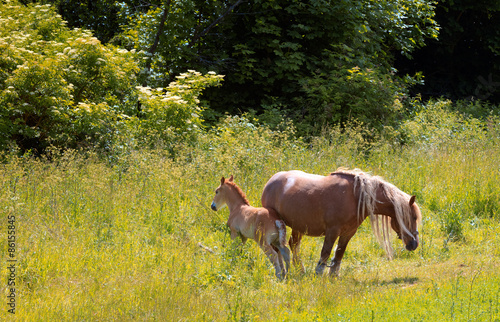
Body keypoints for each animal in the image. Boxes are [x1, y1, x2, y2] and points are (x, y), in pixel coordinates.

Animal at [262, 169, 422, 276]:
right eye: (413, 217)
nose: (414, 244)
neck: (356, 196)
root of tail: (271, 181)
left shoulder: (348, 232)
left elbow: (339, 253)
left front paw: (333, 276)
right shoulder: (332, 231)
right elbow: (325, 252)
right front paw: (318, 275)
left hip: (298, 227)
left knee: (293, 245)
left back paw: (300, 270)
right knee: (278, 249)